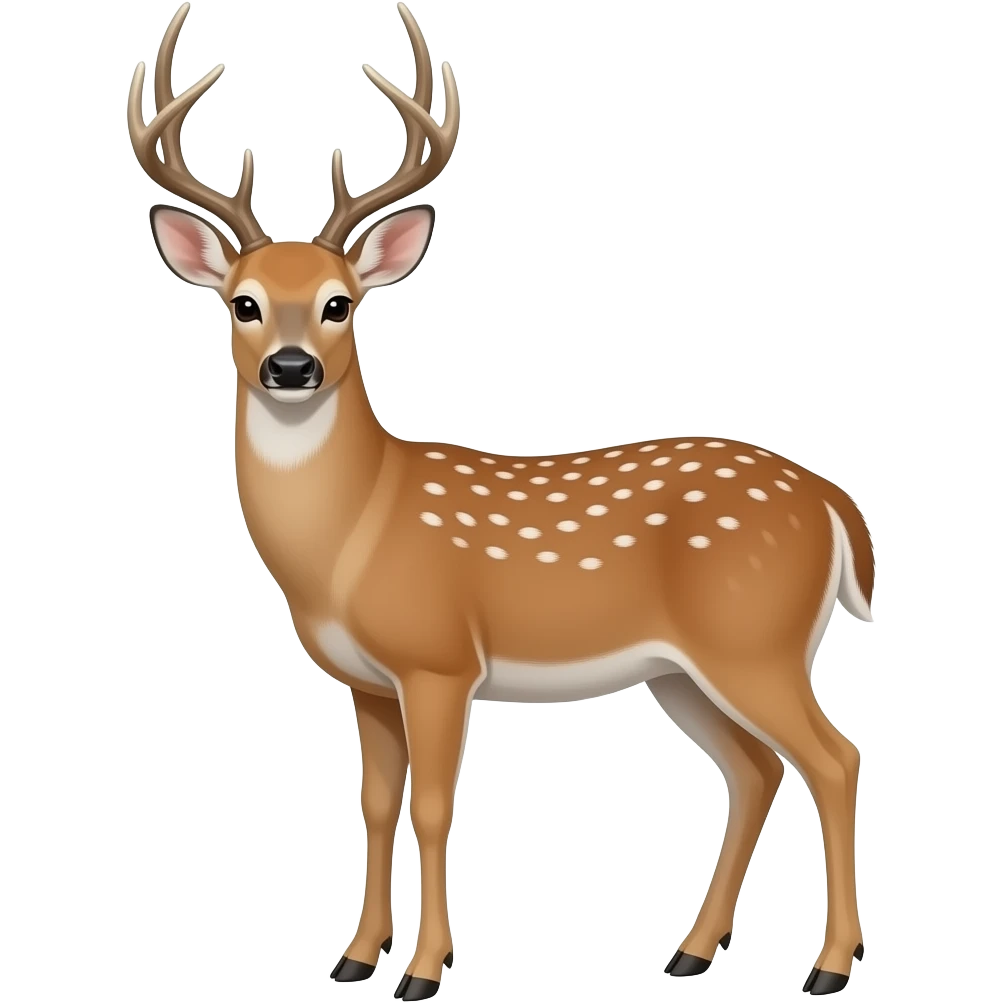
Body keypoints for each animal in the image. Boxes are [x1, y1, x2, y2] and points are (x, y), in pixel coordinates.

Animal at [127, 3, 876, 997]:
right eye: (243, 303)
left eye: (340, 304)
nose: (292, 368)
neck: (350, 536)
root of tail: (833, 501)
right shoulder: (366, 681)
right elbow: (375, 804)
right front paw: (354, 956)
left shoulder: (440, 659)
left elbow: (435, 808)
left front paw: (423, 968)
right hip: (683, 668)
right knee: (755, 769)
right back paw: (689, 950)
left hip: (755, 636)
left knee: (833, 758)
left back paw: (826, 965)